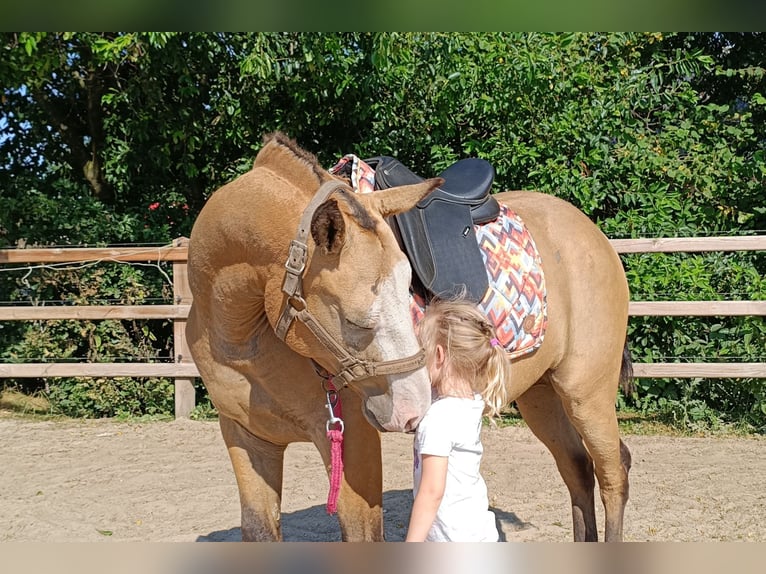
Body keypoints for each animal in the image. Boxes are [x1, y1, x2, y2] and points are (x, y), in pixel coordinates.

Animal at [186, 132, 632, 542]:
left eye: (407, 292)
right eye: (356, 321)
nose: (414, 409)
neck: (244, 338)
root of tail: (592, 233)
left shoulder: (353, 443)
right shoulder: (247, 439)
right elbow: (259, 530)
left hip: (586, 393)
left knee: (613, 473)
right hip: (541, 396)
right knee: (578, 469)